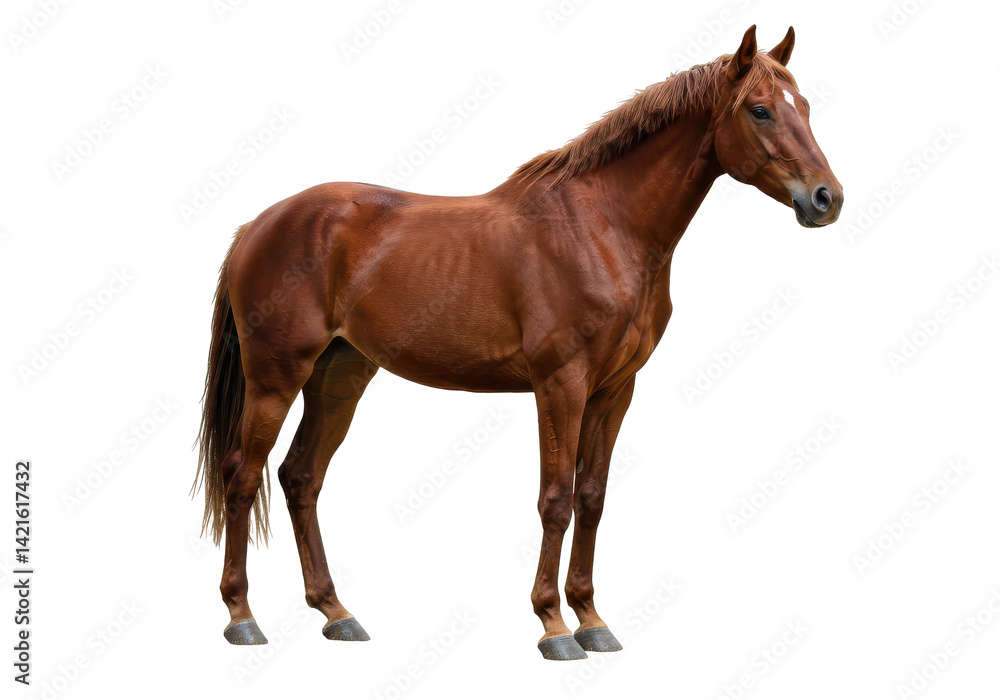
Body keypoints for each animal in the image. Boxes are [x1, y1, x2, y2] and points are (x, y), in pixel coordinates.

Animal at [193, 25, 842, 660]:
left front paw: (592, 620)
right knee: (242, 475)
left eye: (806, 106)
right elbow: (555, 498)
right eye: (760, 110)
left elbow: (592, 498)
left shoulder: (614, 391)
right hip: (276, 377)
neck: (602, 228)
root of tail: (258, 225)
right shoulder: (561, 384)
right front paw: (554, 626)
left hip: (340, 378)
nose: (826, 199)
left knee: (300, 478)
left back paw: (336, 613)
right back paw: (242, 617)